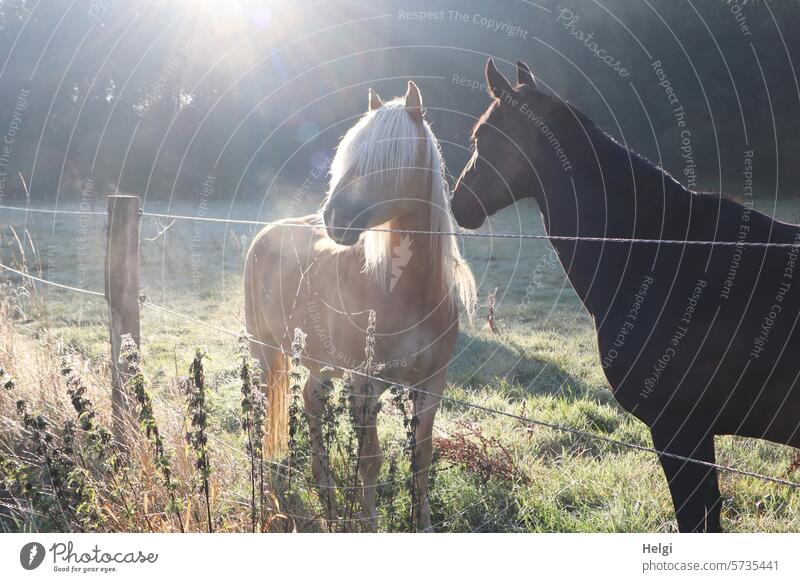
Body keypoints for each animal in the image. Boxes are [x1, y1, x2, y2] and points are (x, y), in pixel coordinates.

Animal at [244, 82, 476, 532]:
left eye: (389, 157)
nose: (335, 217)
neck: (409, 291)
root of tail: (265, 233)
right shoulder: (365, 385)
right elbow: (370, 460)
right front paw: (368, 522)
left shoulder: (431, 384)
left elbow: (422, 457)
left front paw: (423, 522)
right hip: (266, 354)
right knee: (267, 411)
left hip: (317, 363)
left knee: (312, 402)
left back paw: (325, 487)